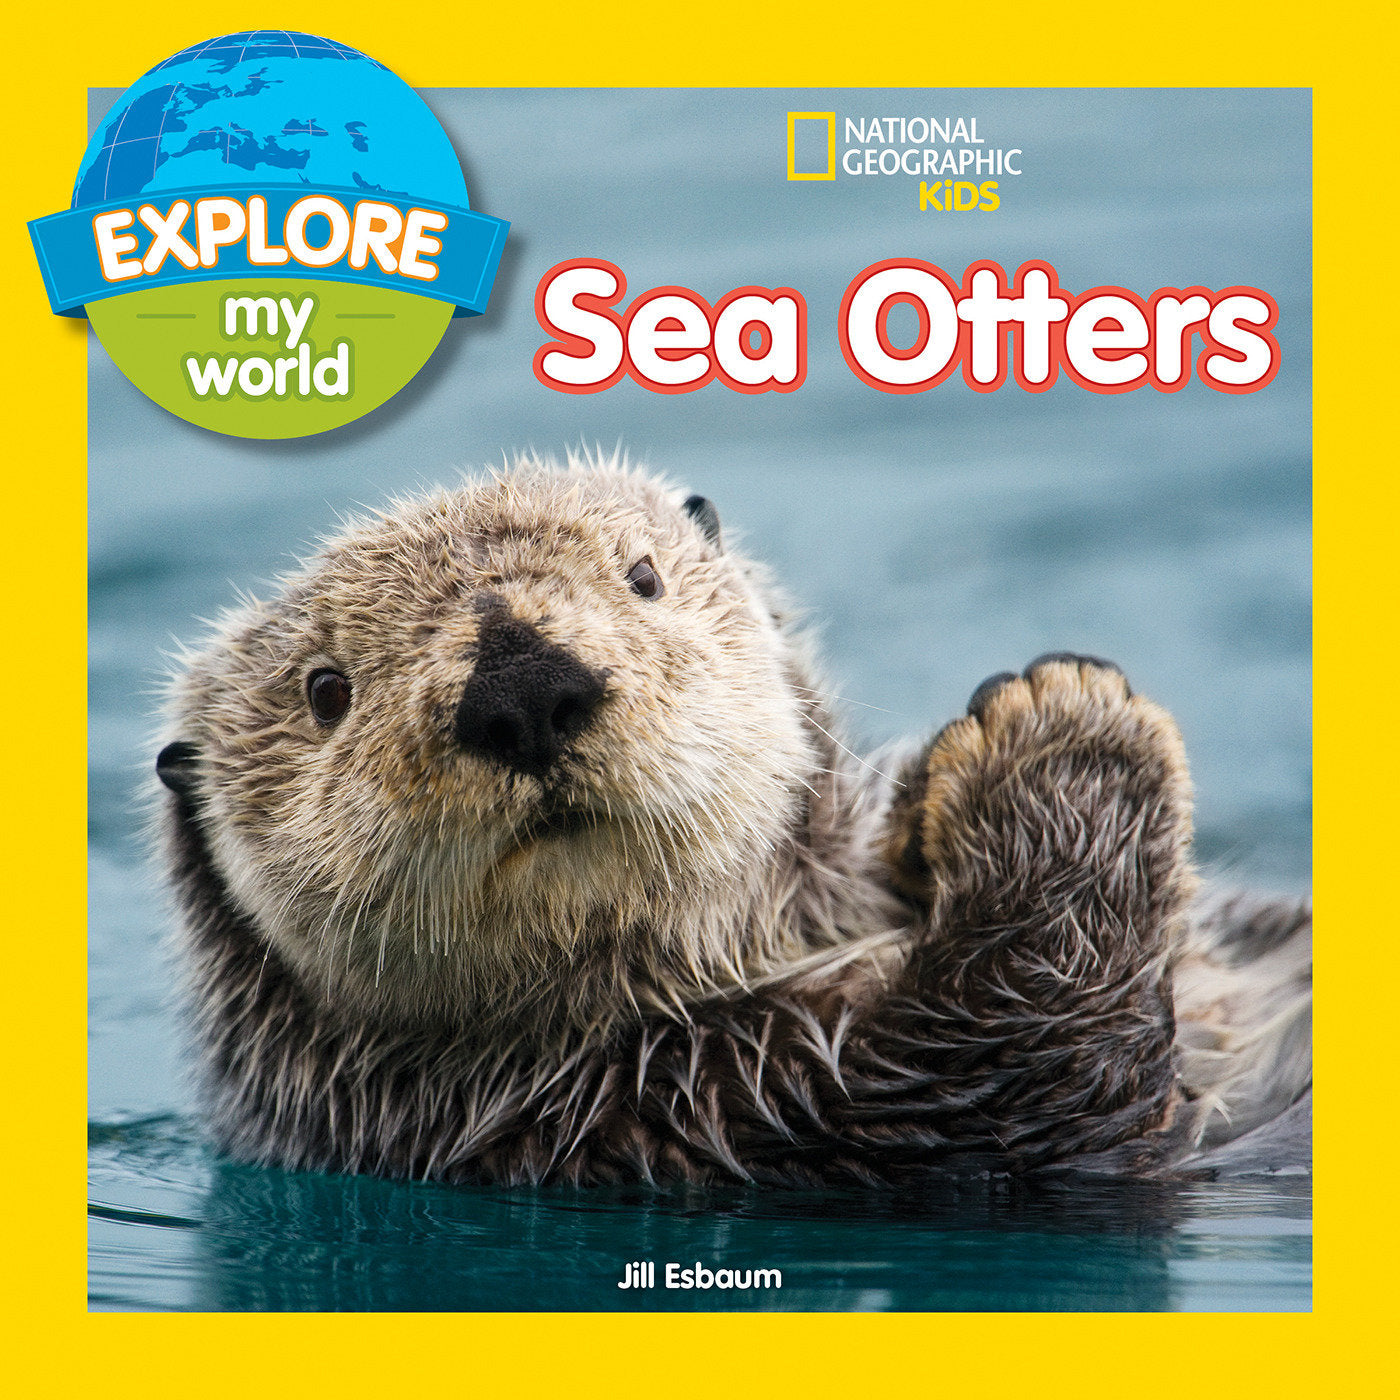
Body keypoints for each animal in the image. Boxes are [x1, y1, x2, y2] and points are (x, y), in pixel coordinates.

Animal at [156, 455, 1311, 1187]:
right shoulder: (762, 1117)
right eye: (326, 690)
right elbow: (1051, 1054)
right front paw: (1057, 720)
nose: (521, 687)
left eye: (643, 575)